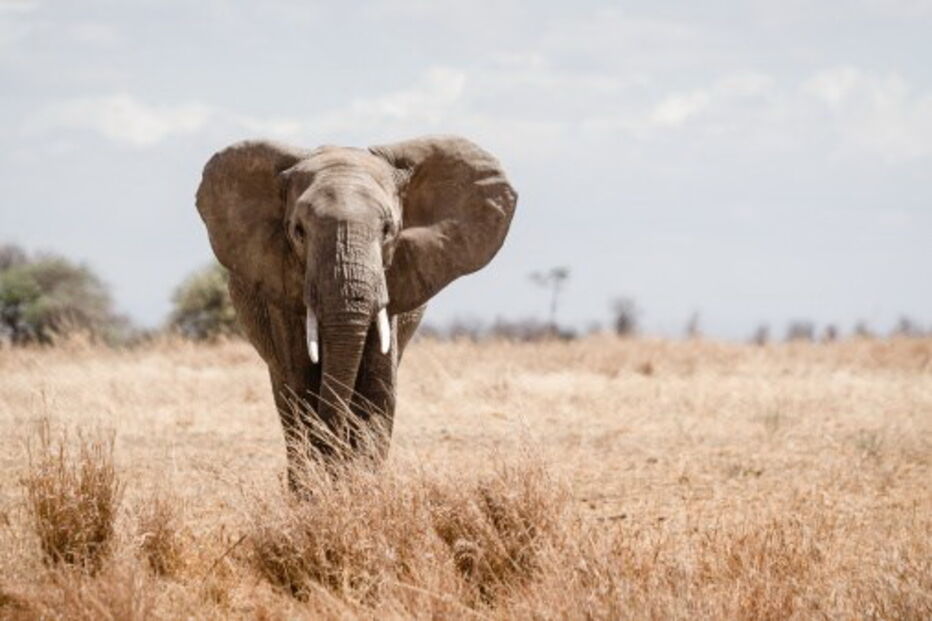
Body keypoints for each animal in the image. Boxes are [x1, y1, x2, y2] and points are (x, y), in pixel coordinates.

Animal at [195, 135, 517, 487]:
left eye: (389, 230)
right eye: (298, 231)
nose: (331, 453)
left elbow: (378, 389)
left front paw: (360, 487)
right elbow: (302, 383)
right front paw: (317, 490)